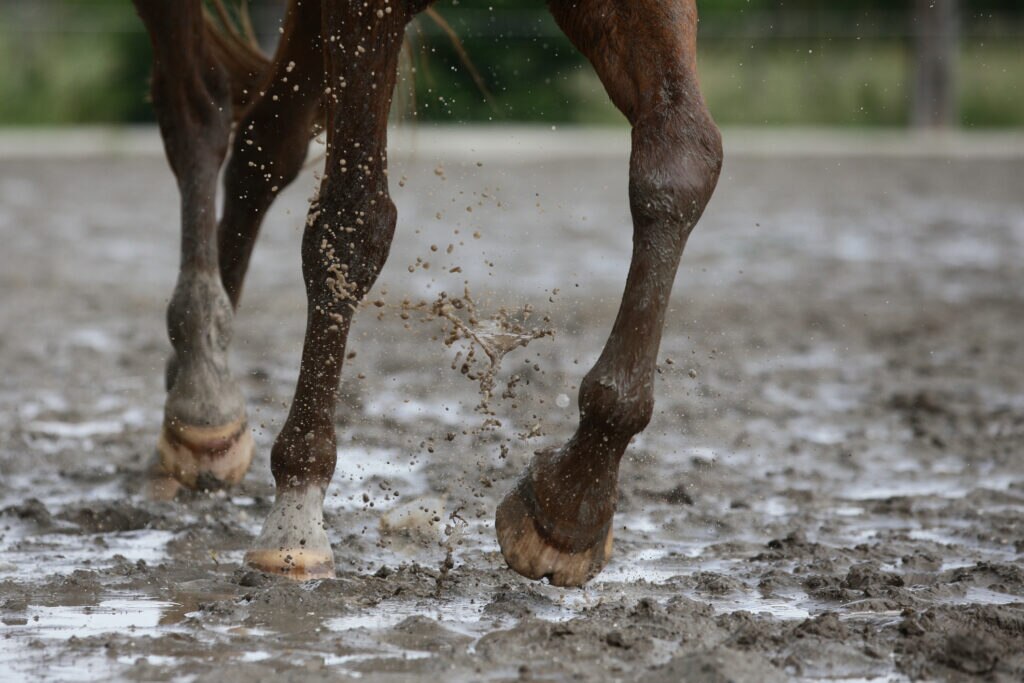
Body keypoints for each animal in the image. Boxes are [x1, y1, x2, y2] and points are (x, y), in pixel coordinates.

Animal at [132, 0, 722, 588]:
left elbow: (680, 161)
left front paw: (573, 502)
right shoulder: (365, 12)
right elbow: (352, 219)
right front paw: (296, 517)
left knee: (268, 140)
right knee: (197, 112)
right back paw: (201, 392)